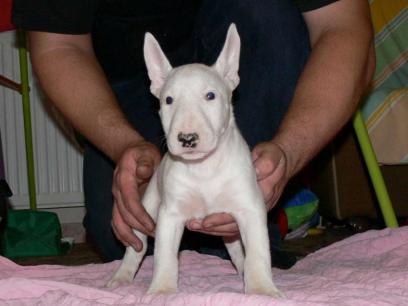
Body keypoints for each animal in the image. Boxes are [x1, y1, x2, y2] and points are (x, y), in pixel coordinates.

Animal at [107, 23, 282, 298]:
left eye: (210, 95)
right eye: (168, 100)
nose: (187, 138)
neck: (204, 168)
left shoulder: (249, 208)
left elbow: (257, 252)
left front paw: (262, 290)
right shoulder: (169, 214)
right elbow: (165, 256)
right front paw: (162, 290)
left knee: (237, 249)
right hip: (146, 207)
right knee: (136, 247)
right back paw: (121, 277)